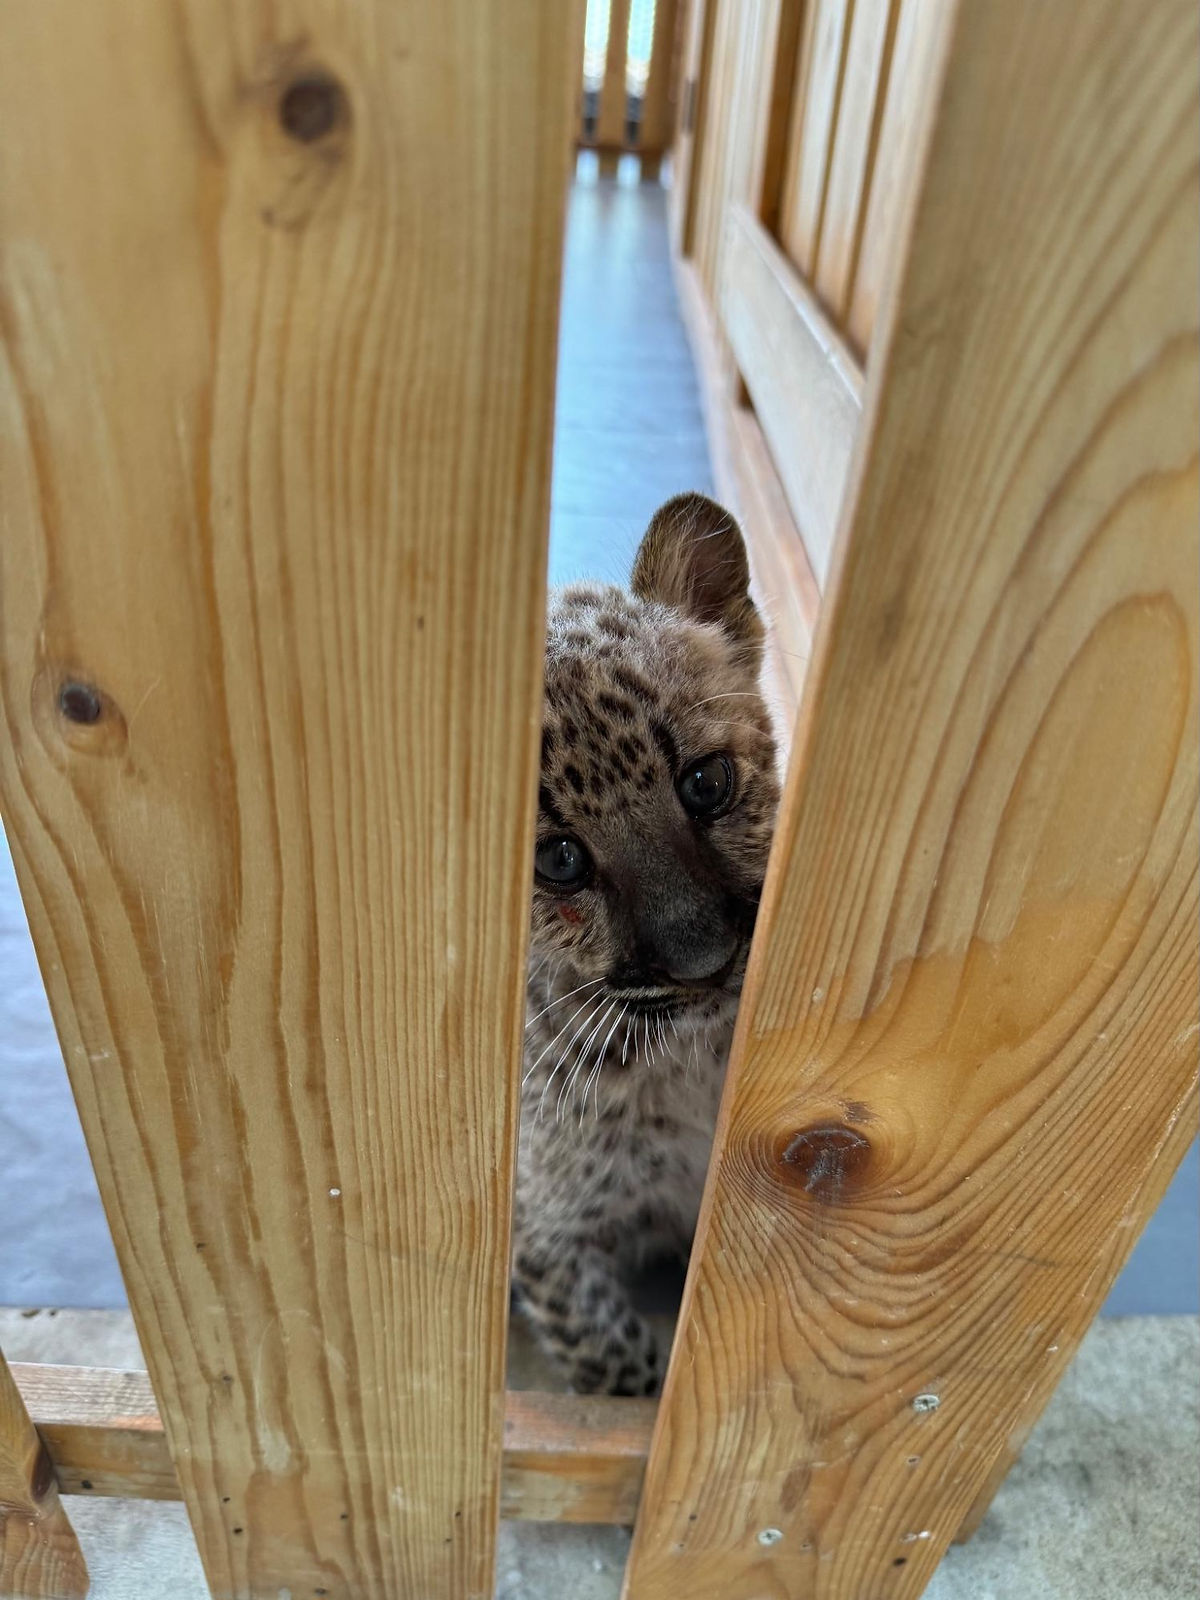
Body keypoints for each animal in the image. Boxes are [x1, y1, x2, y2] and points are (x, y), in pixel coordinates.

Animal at [512, 491, 780, 1397]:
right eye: (559, 861)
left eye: (707, 782)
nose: (706, 963)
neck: (693, 1059)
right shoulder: (543, 1237)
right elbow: (617, 1368)